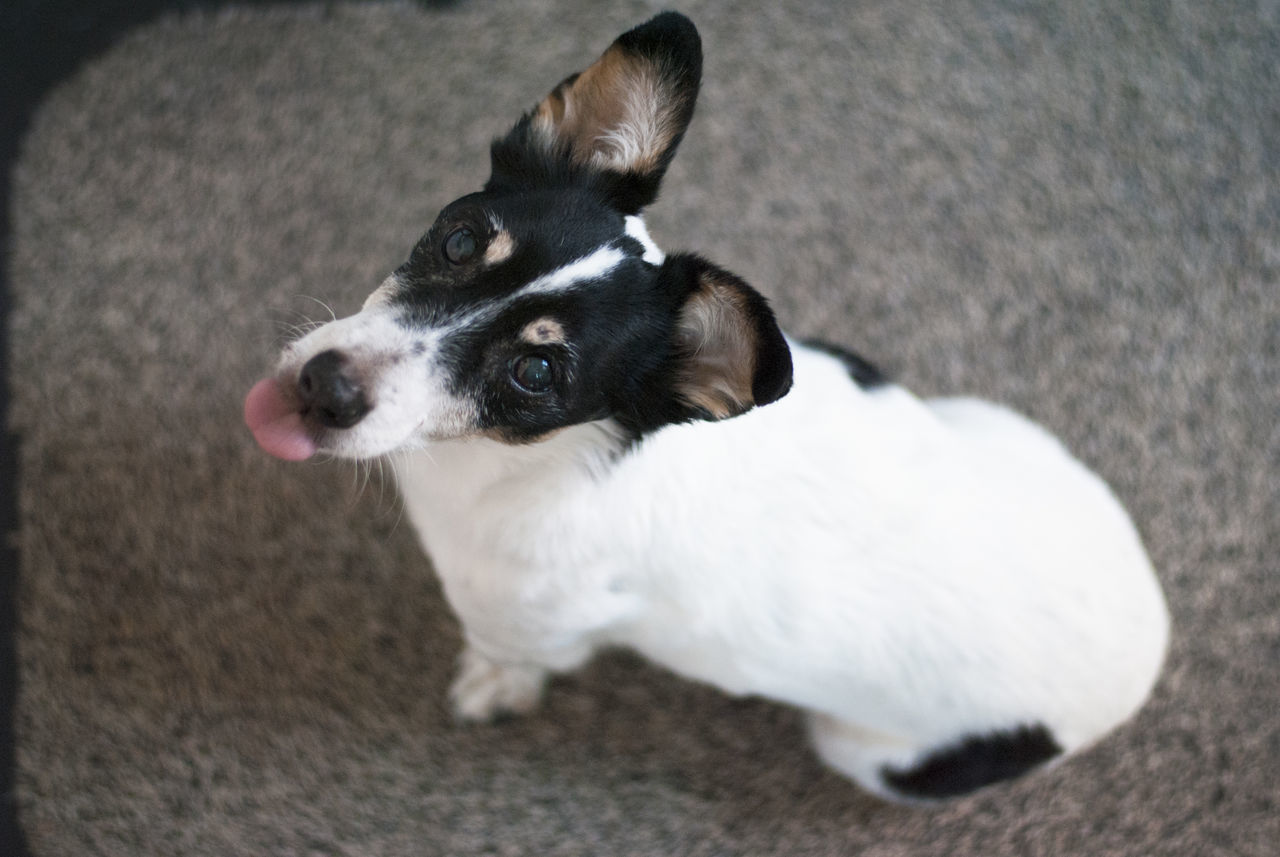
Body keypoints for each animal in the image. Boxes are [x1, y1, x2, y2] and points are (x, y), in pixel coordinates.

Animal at [241, 11, 1172, 808]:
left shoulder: (533, 619)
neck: (514, 459)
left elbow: (513, 654)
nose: (324, 387)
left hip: (868, 752)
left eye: (537, 371)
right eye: (462, 239)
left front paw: (496, 684)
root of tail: (1154, 645)